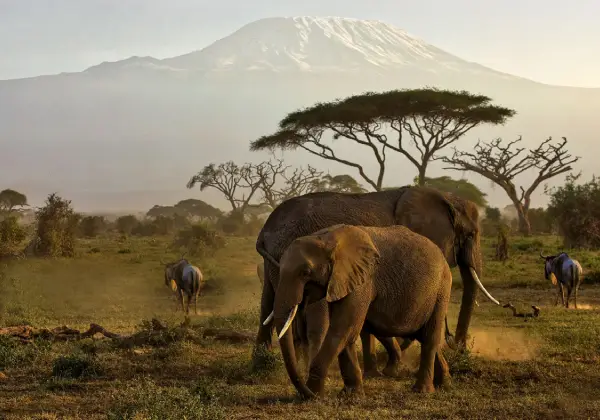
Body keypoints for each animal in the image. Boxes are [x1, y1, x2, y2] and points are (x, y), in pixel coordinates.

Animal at [254, 185, 502, 372]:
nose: (458, 346)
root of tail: (264, 231)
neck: (444, 197)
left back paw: (262, 365)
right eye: (471, 234)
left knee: (269, 304)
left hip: (276, 264)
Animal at [274, 223, 452, 398]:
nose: (305, 393)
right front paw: (351, 394)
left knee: (430, 338)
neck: (326, 238)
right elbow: (346, 333)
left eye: (305, 273)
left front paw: (315, 394)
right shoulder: (342, 281)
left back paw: (422, 390)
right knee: (424, 336)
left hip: (441, 290)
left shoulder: (362, 281)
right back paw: (443, 384)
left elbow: (343, 329)